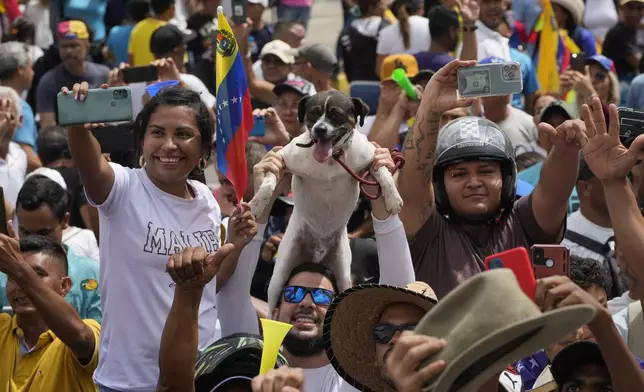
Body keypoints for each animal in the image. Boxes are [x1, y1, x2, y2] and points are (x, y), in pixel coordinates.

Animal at [250, 89, 402, 316]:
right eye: (313, 114)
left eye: (336, 114)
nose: (319, 129)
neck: (331, 160)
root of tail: (317, 256)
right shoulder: (282, 159)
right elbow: (268, 182)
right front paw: (258, 203)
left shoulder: (372, 157)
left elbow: (383, 173)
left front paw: (392, 198)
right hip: (280, 275)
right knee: (273, 306)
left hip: (343, 276)